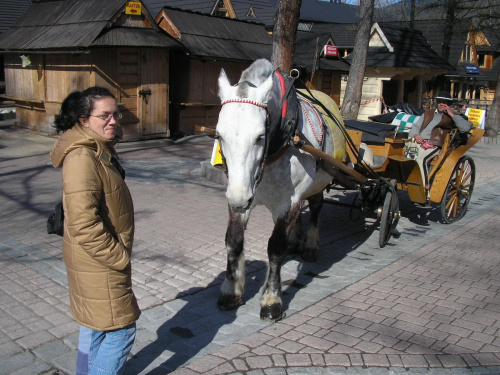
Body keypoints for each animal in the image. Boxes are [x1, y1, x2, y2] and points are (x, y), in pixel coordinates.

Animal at [215, 60, 348, 322]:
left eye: (259, 137)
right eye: (219, 135)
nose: (238, 199)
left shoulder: (288, 199)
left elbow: (275, 248)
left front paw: (271, 299)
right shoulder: (240, 194)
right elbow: (234, 241)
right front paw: (231, 291)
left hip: (318, 180)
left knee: (315, 207)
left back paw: (310, 245)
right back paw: (296, 239)